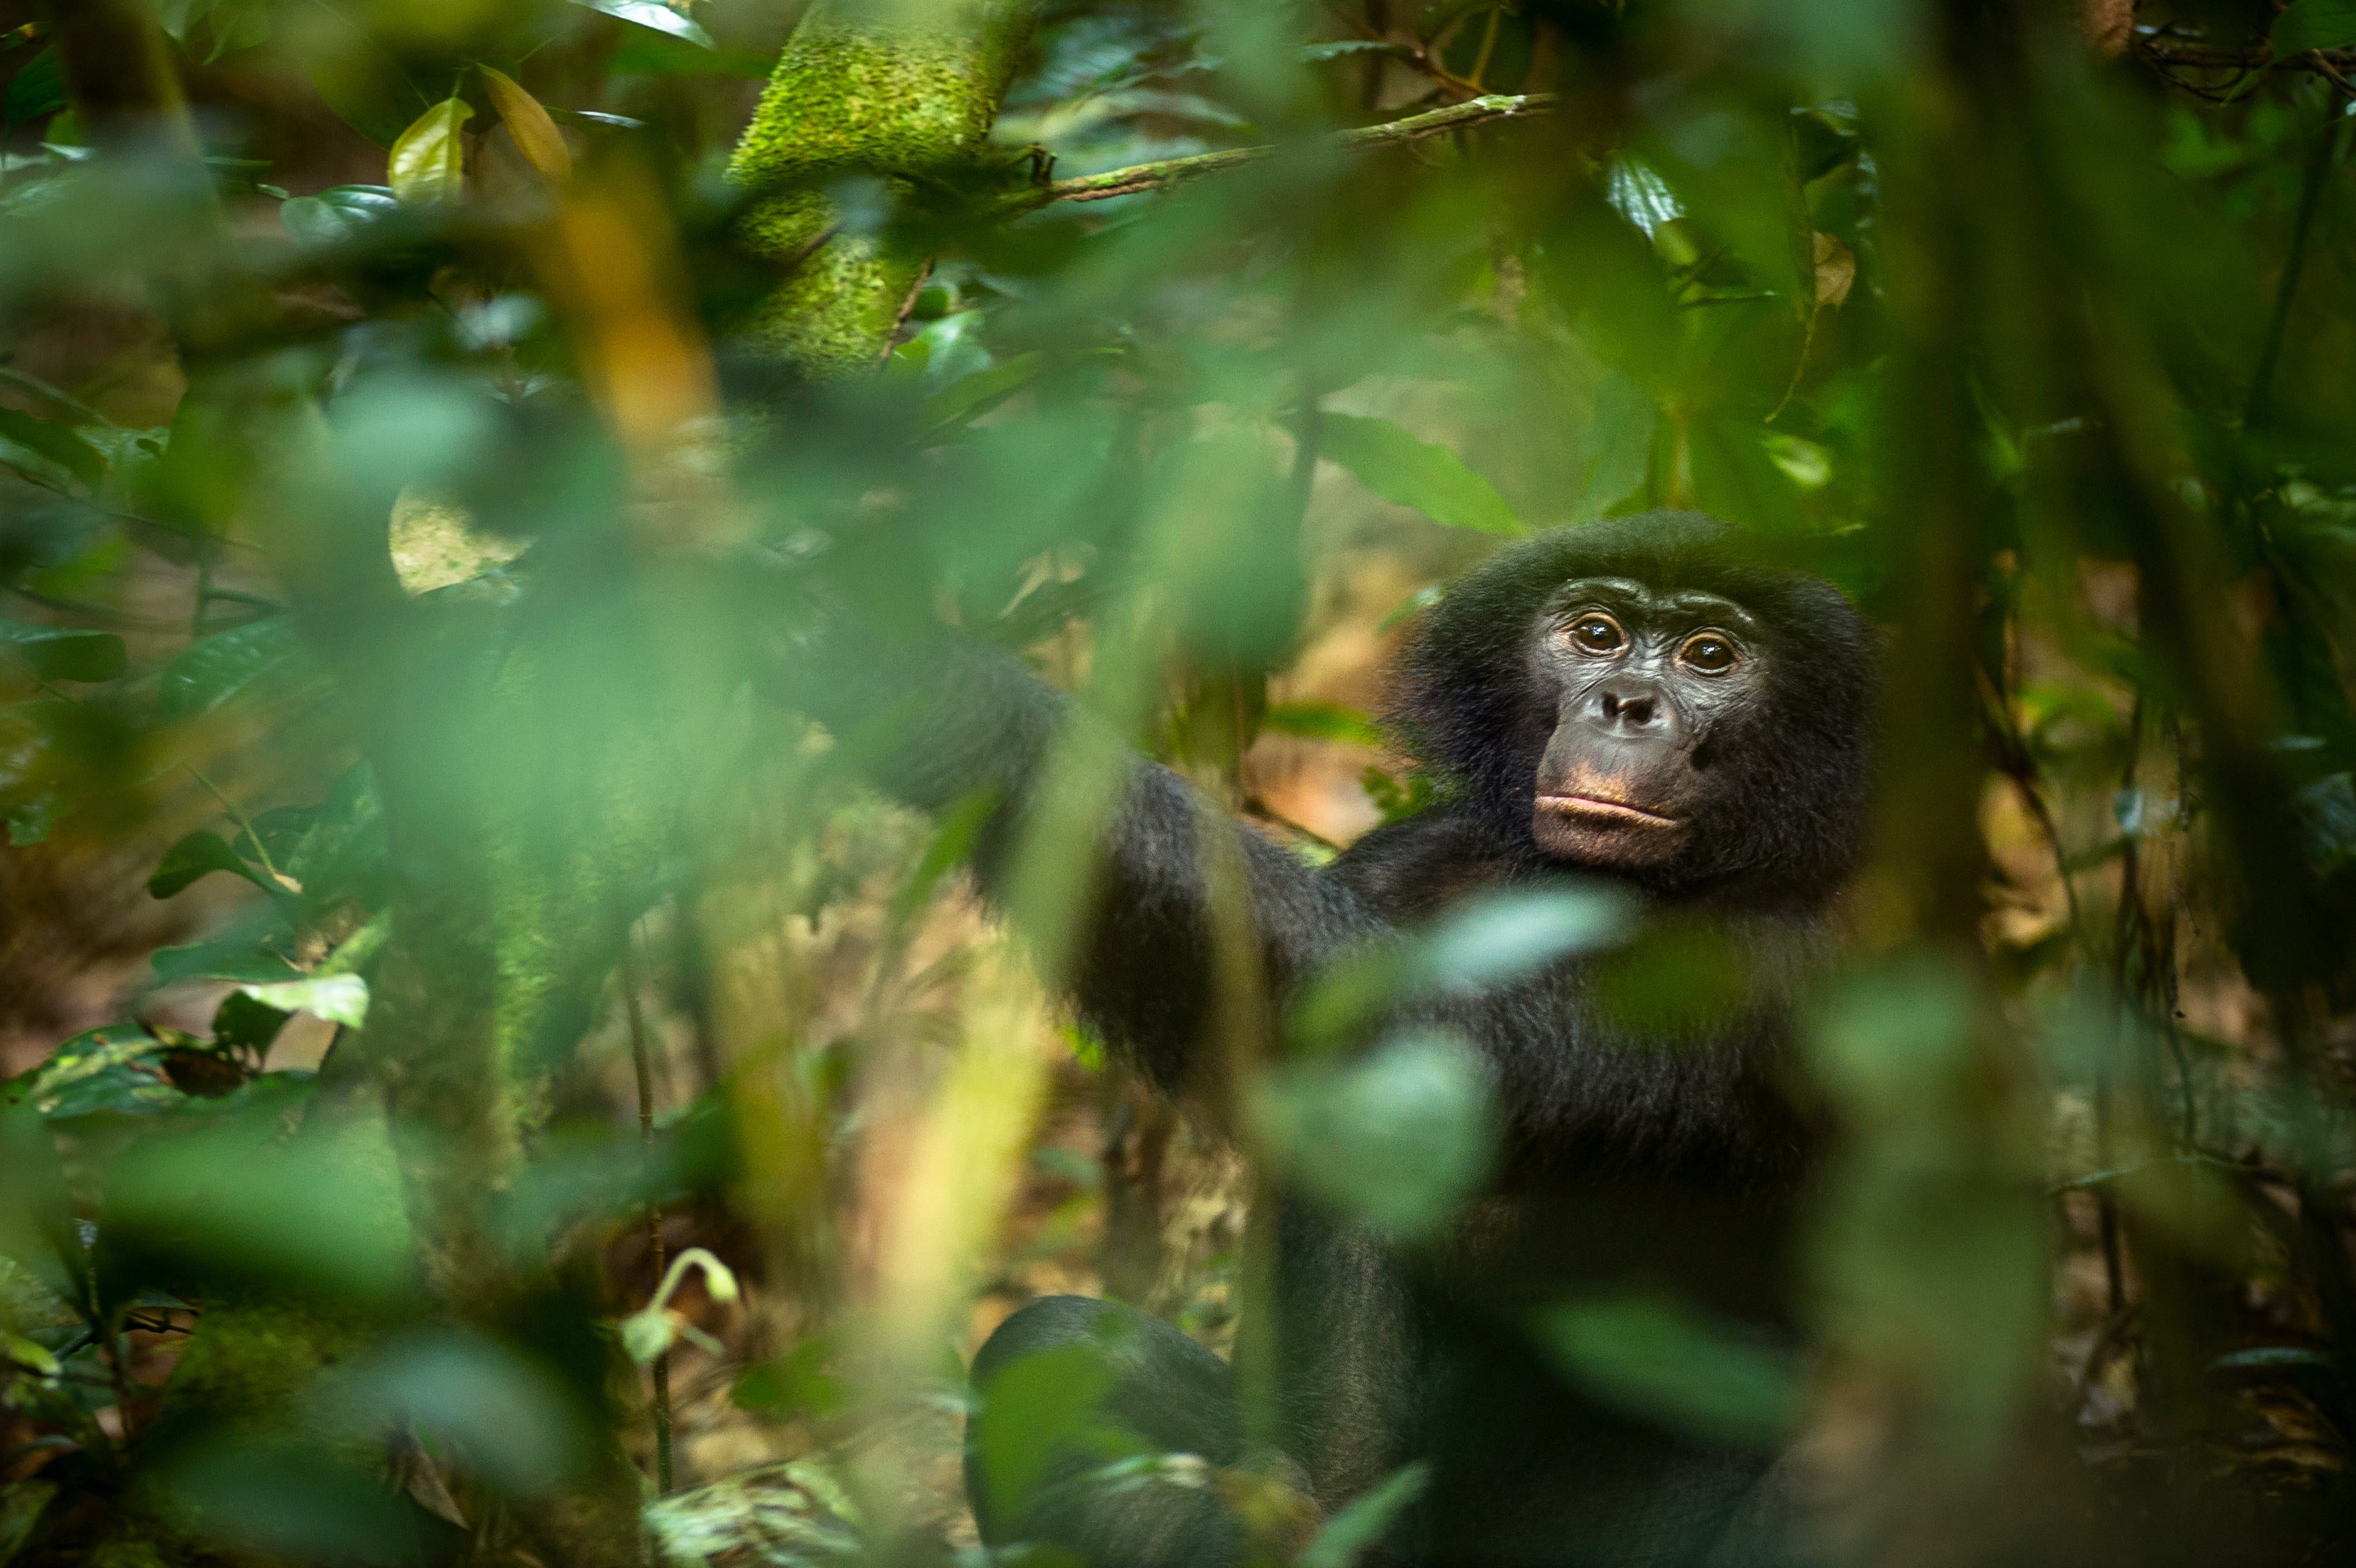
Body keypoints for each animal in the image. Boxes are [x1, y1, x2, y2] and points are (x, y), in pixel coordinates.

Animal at [782, 513, 1865, 1563]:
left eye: (1710, 653)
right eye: (1593, 633)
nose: (1627, 702)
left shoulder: (1783, 960)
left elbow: (1429, 1042)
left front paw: (928, 683)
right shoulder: (1395, 867)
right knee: (1055, 1341)